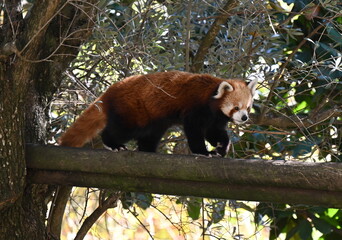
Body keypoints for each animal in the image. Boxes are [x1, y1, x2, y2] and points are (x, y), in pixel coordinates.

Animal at [59, 71, 256, 158]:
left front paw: (222, 148)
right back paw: (113, 144)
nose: (244, 118)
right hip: (132, 111)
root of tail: (110, 91)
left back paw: (148, 149)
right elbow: (194, 132)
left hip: (152, 118)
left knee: (150, 134)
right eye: (236, 107)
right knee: (120, 130)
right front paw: (202, 151)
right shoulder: (196, 109)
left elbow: (216, 133)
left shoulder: (215, 118)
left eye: (247, 107)